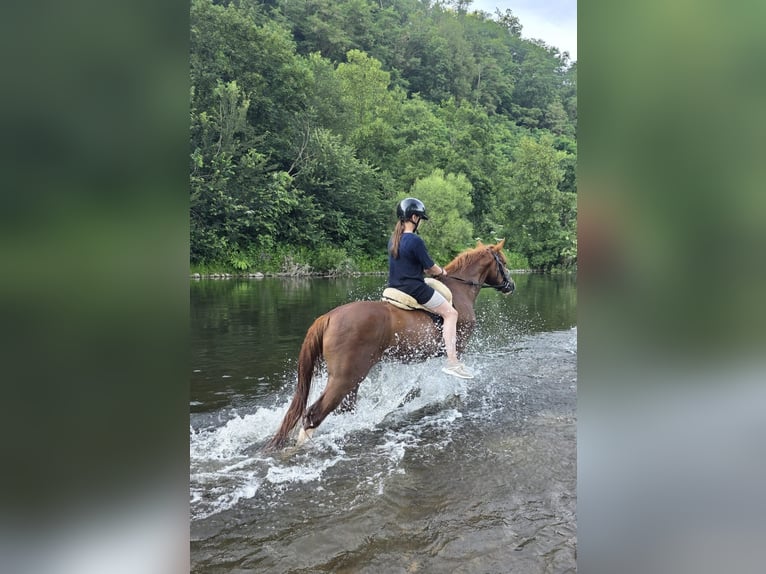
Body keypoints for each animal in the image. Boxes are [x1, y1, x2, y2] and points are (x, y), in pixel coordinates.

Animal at [264, 240, 515, 451]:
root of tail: (328, 317)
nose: (510, 285)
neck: (459, 290)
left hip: (351, 378)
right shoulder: (456, 349)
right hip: (344, 379)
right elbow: (452, 374)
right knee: (313, 415)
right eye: (502, 262)